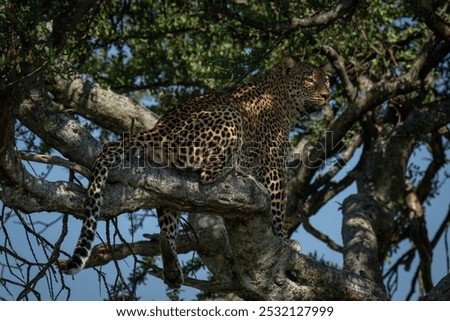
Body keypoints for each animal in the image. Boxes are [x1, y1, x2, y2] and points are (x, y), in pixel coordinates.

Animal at [63, 56, 330, 288]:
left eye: (326, 80)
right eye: (309, 80)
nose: (327, 96)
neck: (285, 103)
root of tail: (159, 130)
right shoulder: (274, 164)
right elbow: (277, 206)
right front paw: (284, 240)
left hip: (166, 181)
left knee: (168, 216)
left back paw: (171, 265)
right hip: (228, 118)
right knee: (207, 173)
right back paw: (234, 169)